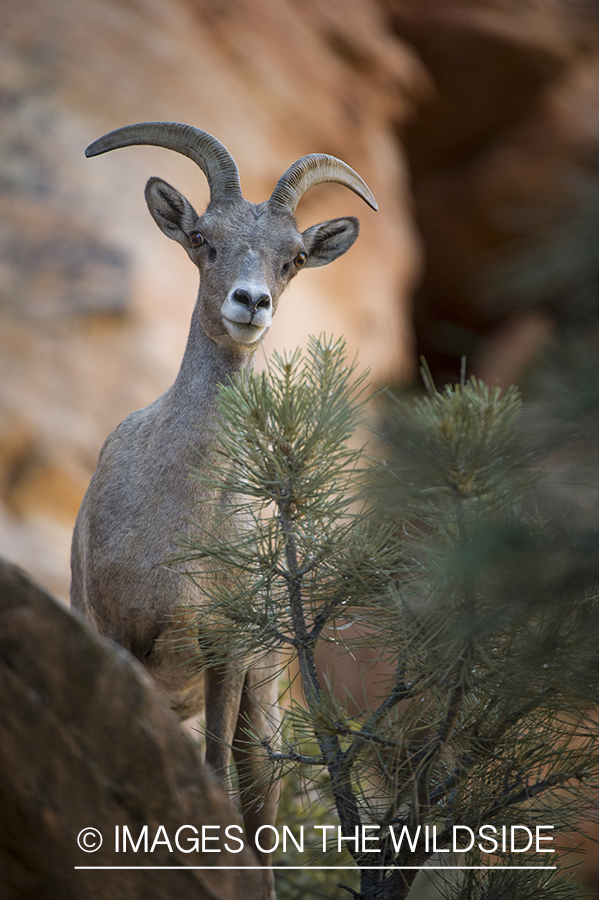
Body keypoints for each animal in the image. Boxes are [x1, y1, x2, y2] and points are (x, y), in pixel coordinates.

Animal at [70, 123, 378, 876]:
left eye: (293, 259)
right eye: (202, 238)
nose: (250, 304)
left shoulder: (227, 655)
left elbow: (216, 782)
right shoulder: (119, 637)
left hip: (261, 708)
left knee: (258, 810)